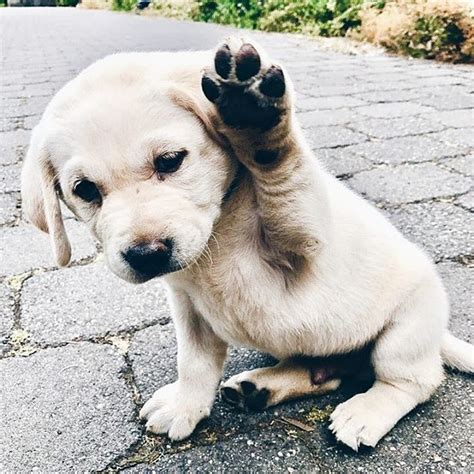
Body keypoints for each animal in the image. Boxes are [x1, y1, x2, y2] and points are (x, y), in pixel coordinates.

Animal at [20, 39, 472, 450]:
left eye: (170, 161)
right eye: (84, 190)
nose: (146, 256)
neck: (218, 232)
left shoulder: (307, 243)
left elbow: (284, 177)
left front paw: (255, 120)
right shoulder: (188, 305)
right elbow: (194, 362)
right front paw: (186, 403)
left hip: (407, 327)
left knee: (415, 380)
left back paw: (367, 410)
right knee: (327, 372)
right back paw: (262, 388)